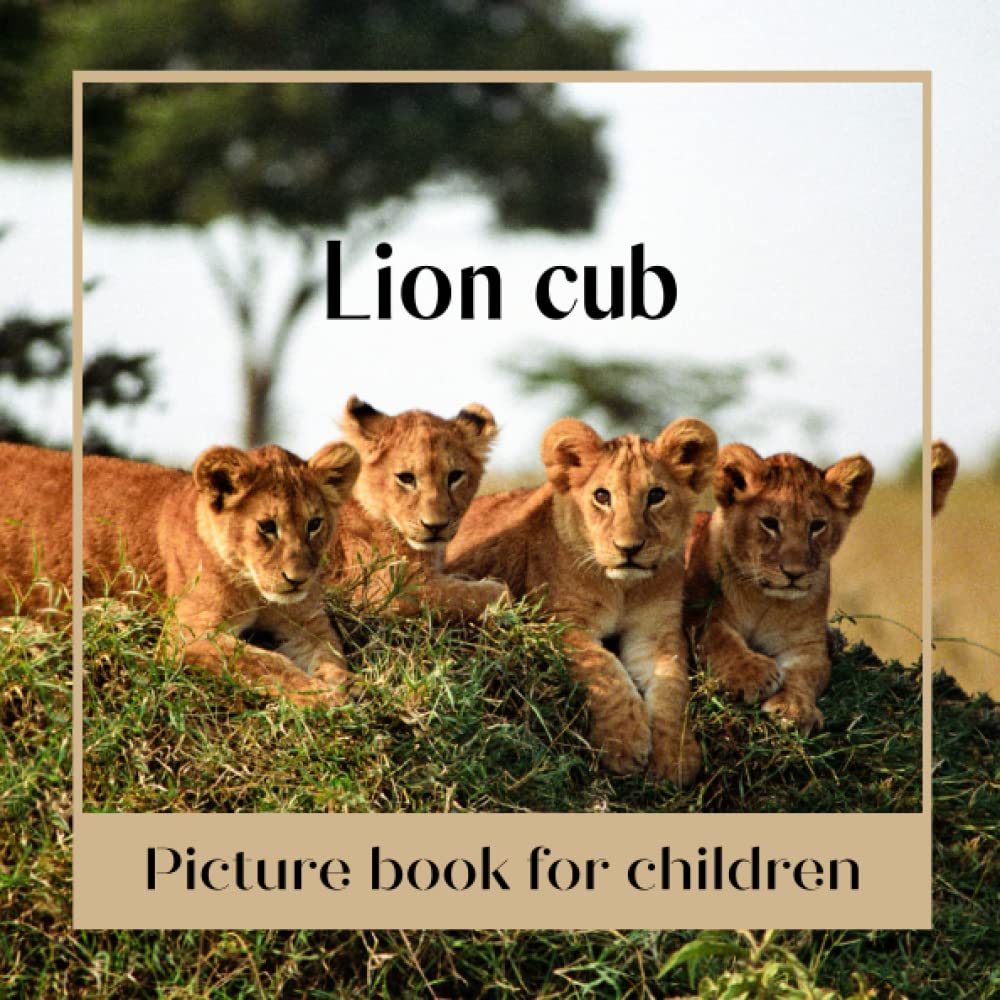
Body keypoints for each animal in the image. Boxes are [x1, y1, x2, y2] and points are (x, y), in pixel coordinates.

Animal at [0, 440, 360, 705]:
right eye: (267, 526)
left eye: (314, 524)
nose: (297, 579)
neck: (256, 590)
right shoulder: (188, 636)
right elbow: (265, 663)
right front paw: (321, 696)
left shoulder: (307, 624)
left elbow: (333, 657)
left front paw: (347, 685)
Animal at [446, 417, 719, 786]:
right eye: (602, 496)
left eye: (656, 495)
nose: (629, 548)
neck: (622, 588)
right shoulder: (556, 620)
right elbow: (602, 665)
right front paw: (624, 742)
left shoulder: (657, 633)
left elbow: (672, 687)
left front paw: (676, 757)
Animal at [683, 445, 874, 734]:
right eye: (770, 523)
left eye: (817, 525)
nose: (794, 573)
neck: (764, 600)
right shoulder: (697, 614)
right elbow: (720, 639)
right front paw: (750, 675)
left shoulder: (806, 645)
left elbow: (805, 674)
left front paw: (794, 708)